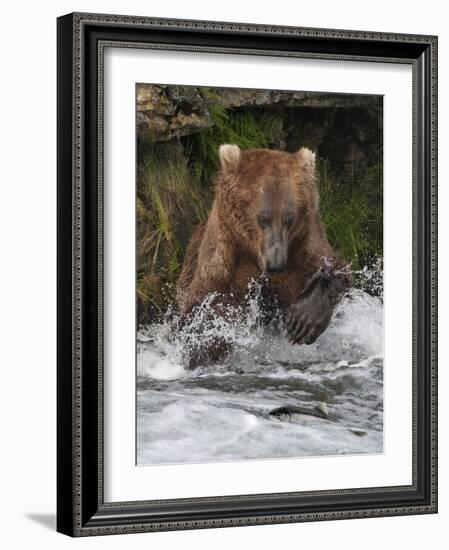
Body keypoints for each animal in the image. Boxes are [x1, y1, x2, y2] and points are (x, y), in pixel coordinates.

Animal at [176, 144, 350, 368]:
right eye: (262, 218)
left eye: (289, 218)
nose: (275, 264)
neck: (253, 254)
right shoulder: (224, 264)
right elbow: (204, 310)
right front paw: (207, 342)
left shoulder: (304, 249)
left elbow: (334, 270)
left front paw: (302, 322)